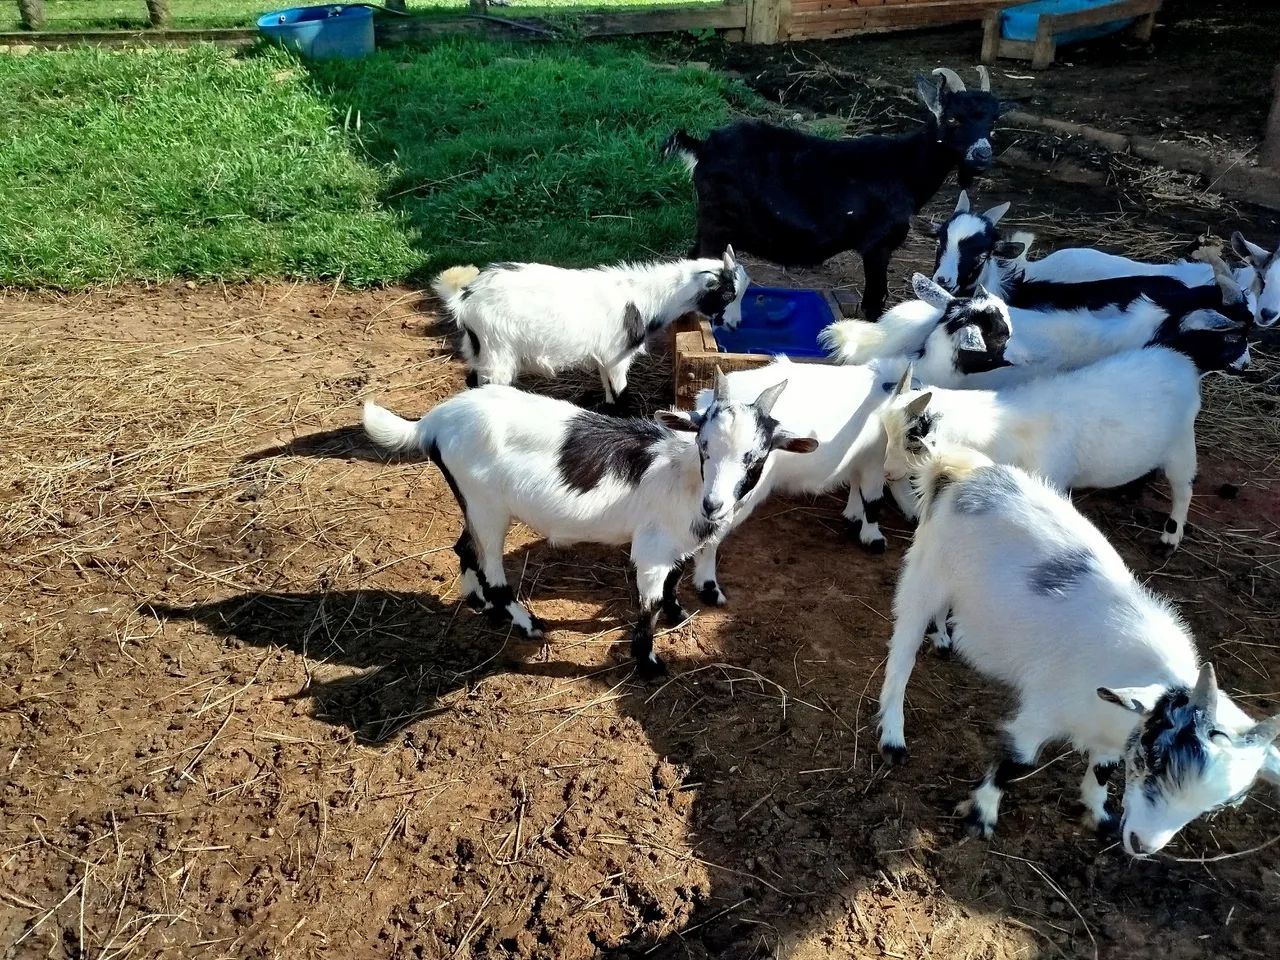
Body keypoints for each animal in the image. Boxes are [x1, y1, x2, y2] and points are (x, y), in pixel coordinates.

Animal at [361, 375, 817, 678]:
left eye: (756, 457)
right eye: (704, 445)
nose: (714, 505)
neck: (686, 479)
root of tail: (433, 421)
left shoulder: (677, 542)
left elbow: (676, 579)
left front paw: (678, 613)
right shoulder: (651, 550)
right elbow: (649, 604)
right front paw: (649, 662)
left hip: (474, 504)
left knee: (465, 548)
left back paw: (479, 603)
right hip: (487, 505)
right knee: (490, 566)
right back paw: (525, 623)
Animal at [431, 250, 748, 409]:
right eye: (728, 294)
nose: (737, 325)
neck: (647, 298)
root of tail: (464, 297)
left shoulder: (605, 358)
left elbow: (608, 389)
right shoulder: (618, 356)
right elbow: (621, 394)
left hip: (478, 348)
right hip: (497, 351)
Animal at [663, 67, 1003, 319]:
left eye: (993, 121)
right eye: (953, 118)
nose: (983, 155)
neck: (905, 167)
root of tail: (702, 148)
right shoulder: (878, 245)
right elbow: (874, 302)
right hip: (717, 224)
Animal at [685, 356, 914, 605]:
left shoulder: (860, 459)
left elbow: (856, 485)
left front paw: (853, 516)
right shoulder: (875, 461)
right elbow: (873, 500)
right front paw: (873, 538)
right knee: (711, 536)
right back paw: (709, 587)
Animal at [876, 443, 1280, 854]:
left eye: (1217, 805)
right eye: (1155, 759)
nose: (1141, 844)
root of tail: (962, 472)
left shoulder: (1115, 732)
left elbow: (1103, 770)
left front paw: (1099, 814)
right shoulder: (1042, 711)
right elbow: (1016, 762)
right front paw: (981, 816)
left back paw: (943, 637)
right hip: (925, 577)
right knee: (901, 657)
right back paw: (893, 736)